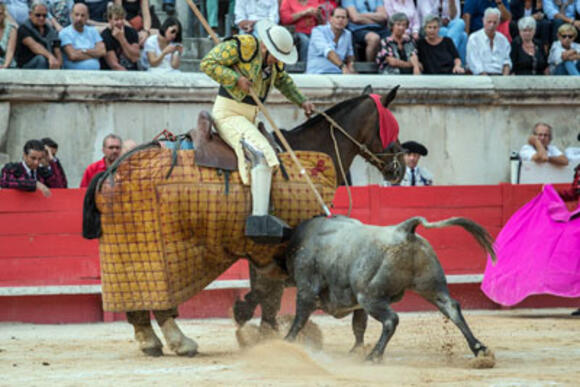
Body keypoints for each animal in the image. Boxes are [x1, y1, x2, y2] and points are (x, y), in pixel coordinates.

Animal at [84, 85, 406, 358]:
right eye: (391, 125)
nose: (400, 168)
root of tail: (112, 170)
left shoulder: (266, 252)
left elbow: (268, 292)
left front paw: (264, 330)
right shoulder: (277, 248)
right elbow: (268, 291)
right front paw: (254, 323)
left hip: (127, 254)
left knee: (137, 305)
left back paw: (151, 342)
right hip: (155, 253)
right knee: (159, 301)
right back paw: (181, 342)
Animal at [284, 215, 496, 364]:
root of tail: (404, 230)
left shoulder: (307, 291)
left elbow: (299, 319)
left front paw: (286, 341)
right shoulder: (356, 304)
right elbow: (358, 326)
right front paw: (355, 351)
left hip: (370, 296)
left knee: (391, 319)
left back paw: (374, 356)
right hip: (431, 286)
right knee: (451, 308)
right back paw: (480, 350)